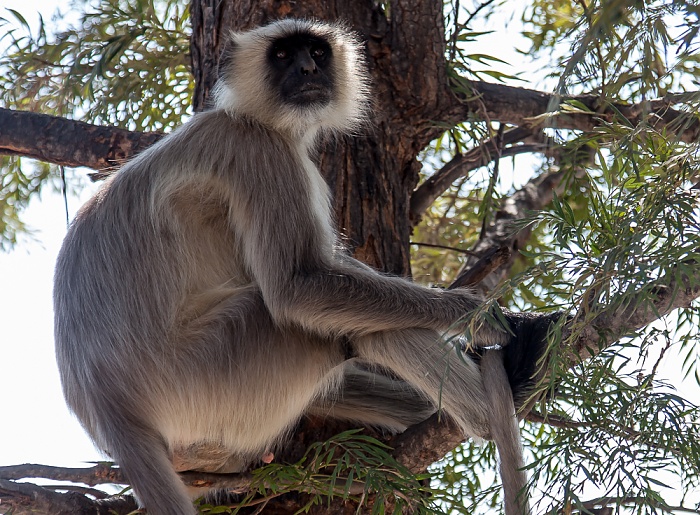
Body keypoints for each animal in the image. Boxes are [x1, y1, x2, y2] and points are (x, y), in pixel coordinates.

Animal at [54, 18, 552, 515]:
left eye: (316, 51)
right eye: (281, 56)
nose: (308, 68)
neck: (250, 118)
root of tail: (112, 413)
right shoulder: (257, 149)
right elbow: (299, 286)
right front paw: (485, 321)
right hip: (213, 374)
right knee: (347, 328)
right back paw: (493, 408)